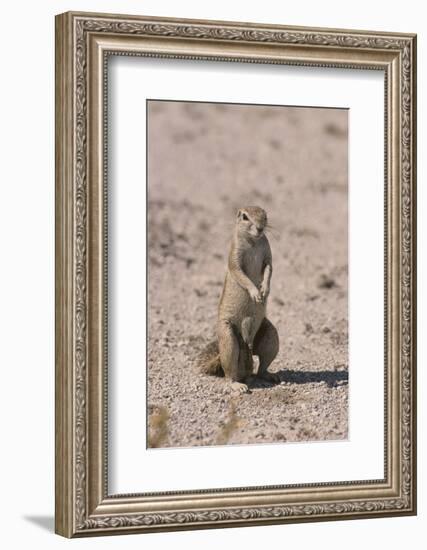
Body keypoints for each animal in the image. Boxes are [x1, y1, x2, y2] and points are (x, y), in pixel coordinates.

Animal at [198, 206, 280, 392]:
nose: (260, 228)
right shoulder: (234, 256)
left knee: (261, 367)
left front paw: (265, 289)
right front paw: (255, 292)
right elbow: (240, 274)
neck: (253, 241)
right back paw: (237, 385)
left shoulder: (267, 254)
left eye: (265, 215)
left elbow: (269, 268)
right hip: (228, 338)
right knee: (229, 372)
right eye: (245, 216)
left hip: (271, 336)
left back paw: (268, 375)